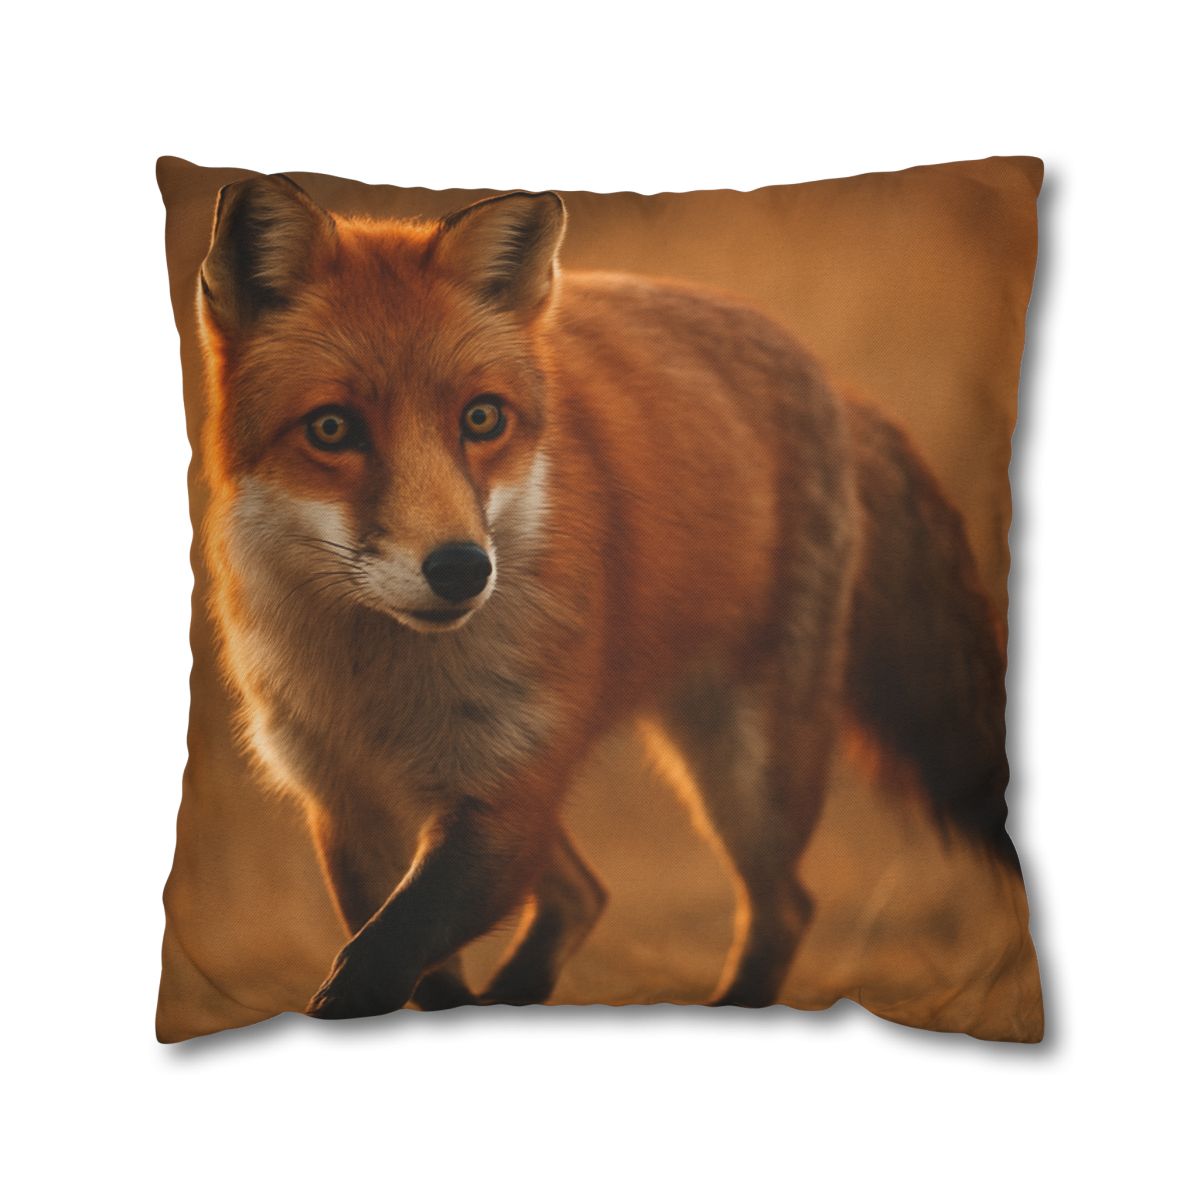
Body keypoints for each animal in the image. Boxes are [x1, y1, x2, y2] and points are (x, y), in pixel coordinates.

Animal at [197, 174, 1017, 1020]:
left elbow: (379, 958)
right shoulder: (350, 808)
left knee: (781, 906)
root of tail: (834, 381)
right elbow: (408, 972)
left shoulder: (508, 793)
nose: (461, 569)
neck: (384, 685)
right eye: (331, 428)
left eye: (482, 417)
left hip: (743, 772)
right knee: (584, 894)